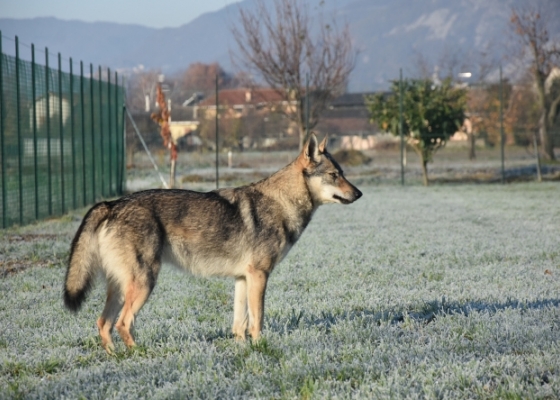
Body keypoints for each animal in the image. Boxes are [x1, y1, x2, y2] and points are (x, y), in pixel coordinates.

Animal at [63, 135, 364, 354]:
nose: (359, 194)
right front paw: (262, 347)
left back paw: (114, 356)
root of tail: (111, 204)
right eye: (334, 175)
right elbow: (258, 320)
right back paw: (141, 355)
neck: (281, 203)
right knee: (123, 323)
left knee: (103, 323)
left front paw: (243, 349)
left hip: (120, 288)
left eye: (342, 173)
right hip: (144, 284)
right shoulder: (259, 276)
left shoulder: (243, 279)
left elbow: (240, 323)